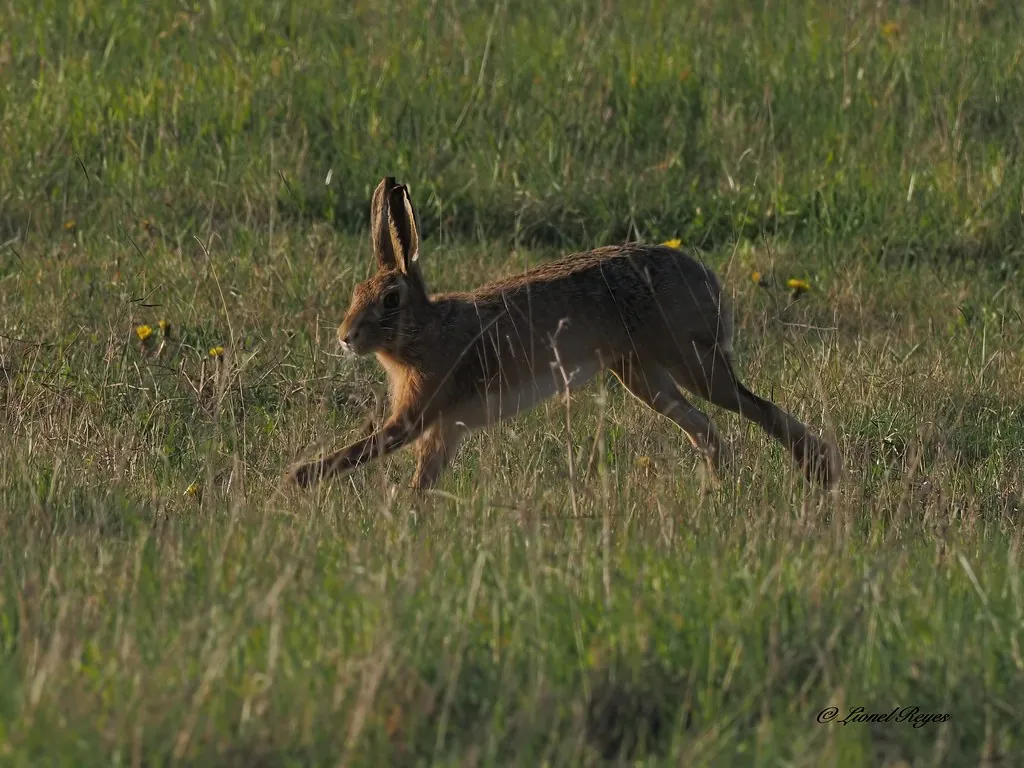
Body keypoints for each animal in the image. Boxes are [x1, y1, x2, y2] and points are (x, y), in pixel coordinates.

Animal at [285, 177, 841, 492]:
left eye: (390, 300)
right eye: (356, 291)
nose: (345, 337)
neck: (427, 329)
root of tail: (706, 279)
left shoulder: (418, 415)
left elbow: (371, 447)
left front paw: (297, 480)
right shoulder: (443, 430)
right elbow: (424, 477)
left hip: (689, 359)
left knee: (754, 407)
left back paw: (818, 472)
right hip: (642, 376)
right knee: (704, 425)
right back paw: (721, 488)